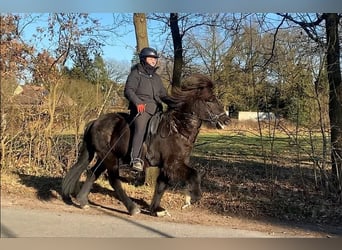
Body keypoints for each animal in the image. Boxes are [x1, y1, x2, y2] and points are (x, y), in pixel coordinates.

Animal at [62, 73, 231, 216]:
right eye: (210, 100)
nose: (226, 120)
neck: (178, 128)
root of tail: (95, 122)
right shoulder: (173, 164)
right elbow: (194, 174)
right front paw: (192, 198)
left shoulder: (167, 166)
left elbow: (161, 186)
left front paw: (156, 210)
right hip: (110, 157)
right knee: (113, 179)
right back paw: (132, 208)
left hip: (105, 157)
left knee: (93, 173)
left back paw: (83, 201)